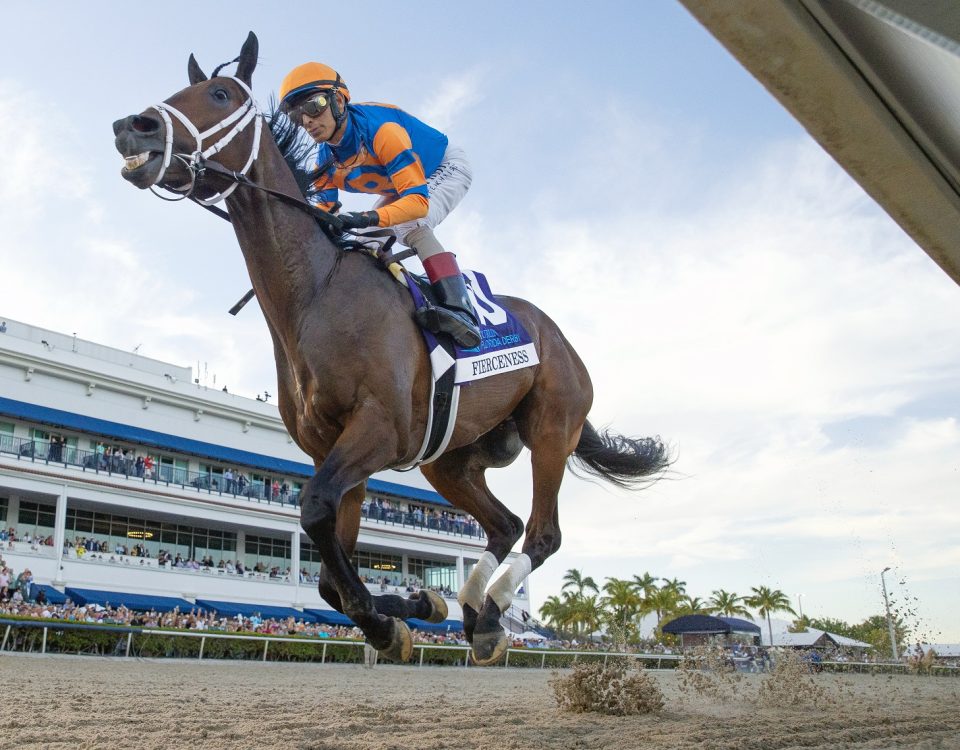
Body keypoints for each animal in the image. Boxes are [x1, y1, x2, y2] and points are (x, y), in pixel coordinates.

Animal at [112, 32, 668, 668]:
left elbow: (314, 512)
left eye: (221, 94)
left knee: (542, 531)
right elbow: (327, 572)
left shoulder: (379, 430)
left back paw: (492, 610)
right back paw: (474, 611)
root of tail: (561, 340)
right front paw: (417, 606)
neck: (316, 293)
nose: (134, 127)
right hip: (447, 459)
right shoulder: (331, 448)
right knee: (504, 525)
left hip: (551, 428)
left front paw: (392, 621)